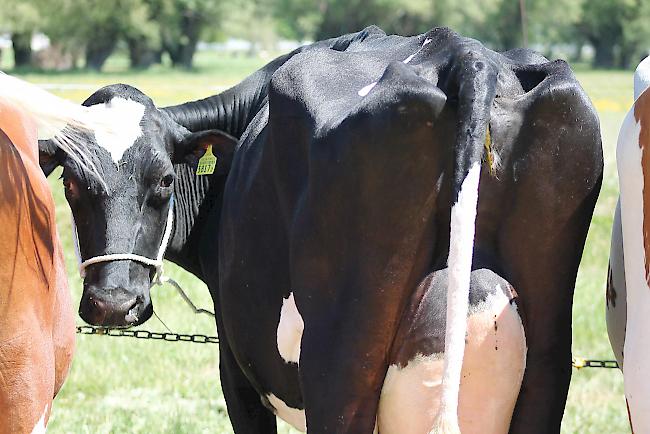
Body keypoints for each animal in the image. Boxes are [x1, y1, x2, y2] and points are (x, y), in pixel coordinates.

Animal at [38, 28, 600, 434]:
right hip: (547, 365)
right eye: (72, 181)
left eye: (163, 181)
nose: (113, 304)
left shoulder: (237, 371)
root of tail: (467, 54)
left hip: (339, 371)